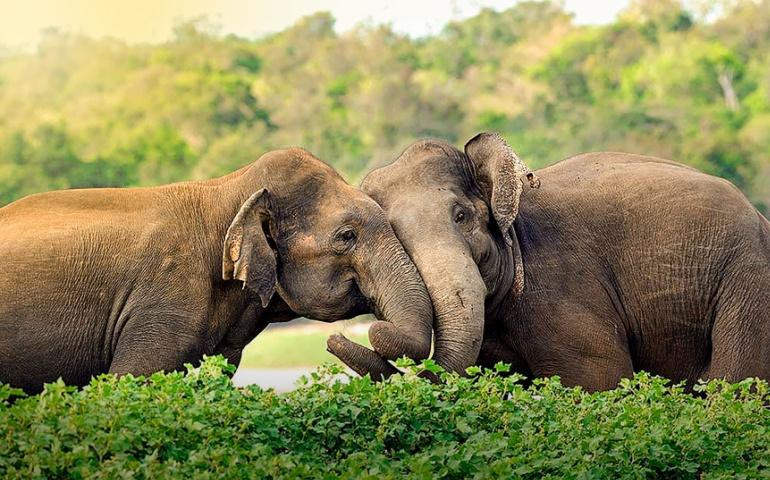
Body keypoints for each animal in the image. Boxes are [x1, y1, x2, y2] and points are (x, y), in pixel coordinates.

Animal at [329, 132, 770, 392]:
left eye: (462, 216)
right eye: (395, 235)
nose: (335, 339)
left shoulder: (563, 290)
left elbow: (598, 380)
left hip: (748, 280)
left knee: (737, 383)